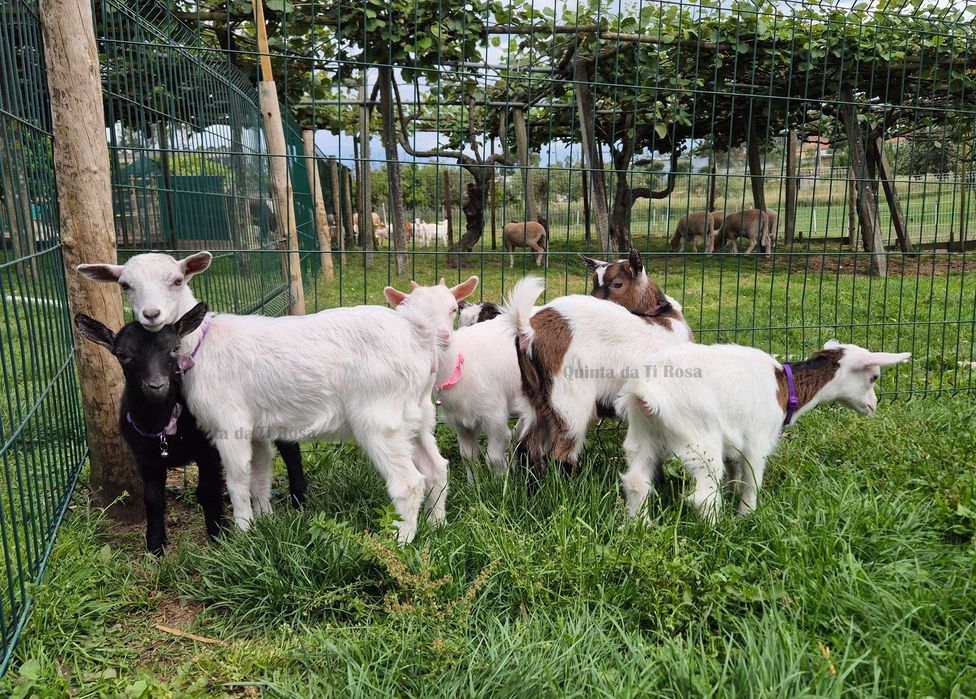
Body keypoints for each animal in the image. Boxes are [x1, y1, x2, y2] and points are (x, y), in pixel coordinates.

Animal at [78, 251, 477, 544]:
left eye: (177, 280)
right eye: (125, 285)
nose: (152, 315)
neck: (202, 343)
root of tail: (418, 337)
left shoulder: (231, 426)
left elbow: (236, 481)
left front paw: (241, 535)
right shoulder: (257, 430)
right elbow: (259, 477)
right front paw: (265, 524)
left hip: (380, 419)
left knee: (409, 482)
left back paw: (401, 541)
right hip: (417, 415)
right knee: (437, 467)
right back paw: (437, 526)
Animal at [617, 341, 911, 523]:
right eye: (873, 377)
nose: (874, 405)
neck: (785, 387)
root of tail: (647, 390)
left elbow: (734, 473)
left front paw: (733, 495)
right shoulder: (756, 442)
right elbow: (751, 482)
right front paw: (746, 516)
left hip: (642, 435)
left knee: (636, 481)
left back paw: (640, 526)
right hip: (699, 438)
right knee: (703, 496)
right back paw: (716, 530)